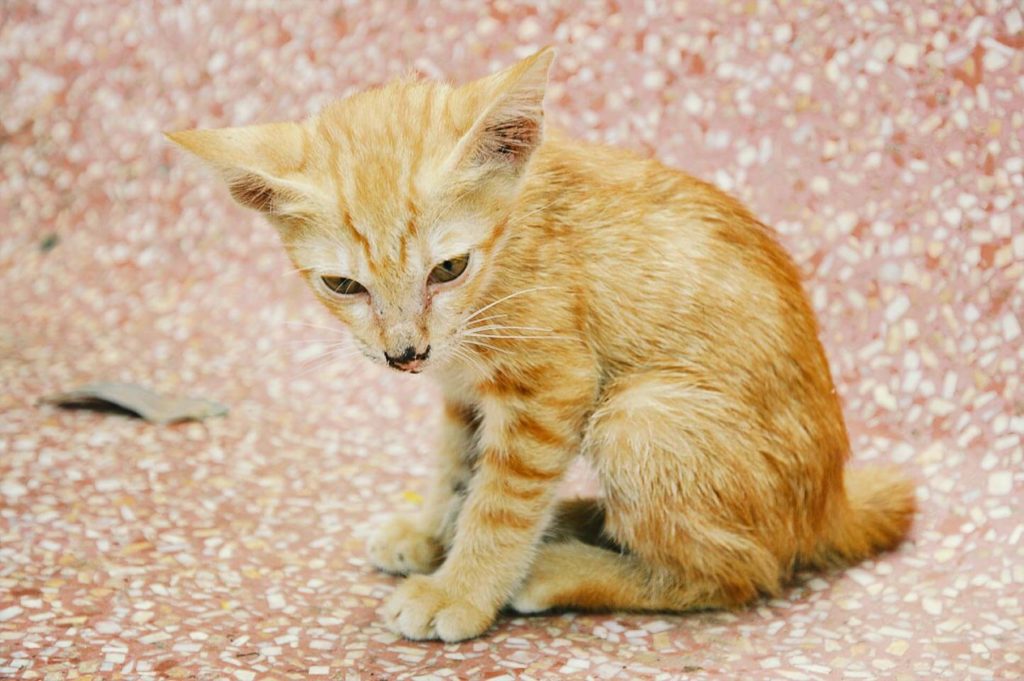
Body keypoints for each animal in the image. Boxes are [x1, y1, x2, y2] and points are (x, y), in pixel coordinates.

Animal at [167, 49, 913, 643]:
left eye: (448, 268)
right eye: (343, 284)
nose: (404, 353)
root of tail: (832, 505)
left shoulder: (551, 388)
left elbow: (500, 504)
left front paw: (460, 589)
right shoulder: (463, 391)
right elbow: (458, 468)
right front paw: (432, 532)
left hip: (638, 416)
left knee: (743, 571)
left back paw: (561, 566)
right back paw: (579, 518)